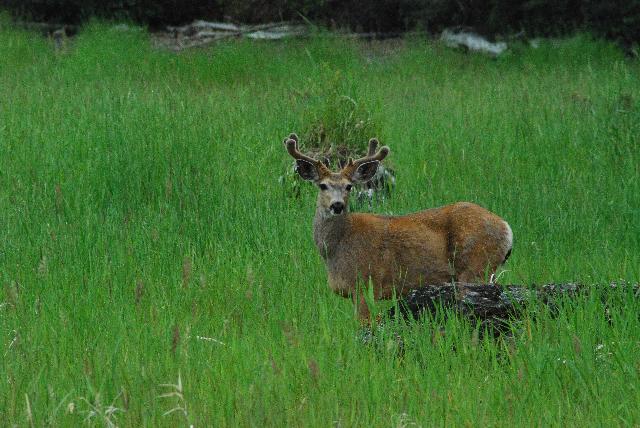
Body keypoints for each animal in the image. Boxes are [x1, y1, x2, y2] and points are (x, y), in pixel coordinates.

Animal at [282, 134, 512, 320]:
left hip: (475, 266)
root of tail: (507, 228)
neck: (335, 251)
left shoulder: (365, 284)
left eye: (349, 186)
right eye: (322, 185)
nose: (337, 205)